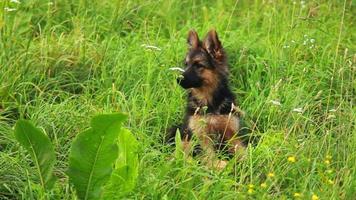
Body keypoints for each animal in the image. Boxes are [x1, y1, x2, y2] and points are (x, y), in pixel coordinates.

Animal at [169, 29, 245, 167]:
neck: (209, 102)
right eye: (186, 64)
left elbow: (243, 152)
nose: (178, 79)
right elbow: (211, 157)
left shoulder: (232, 134)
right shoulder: (202, 136)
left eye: (199, 65)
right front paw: (220, 165)